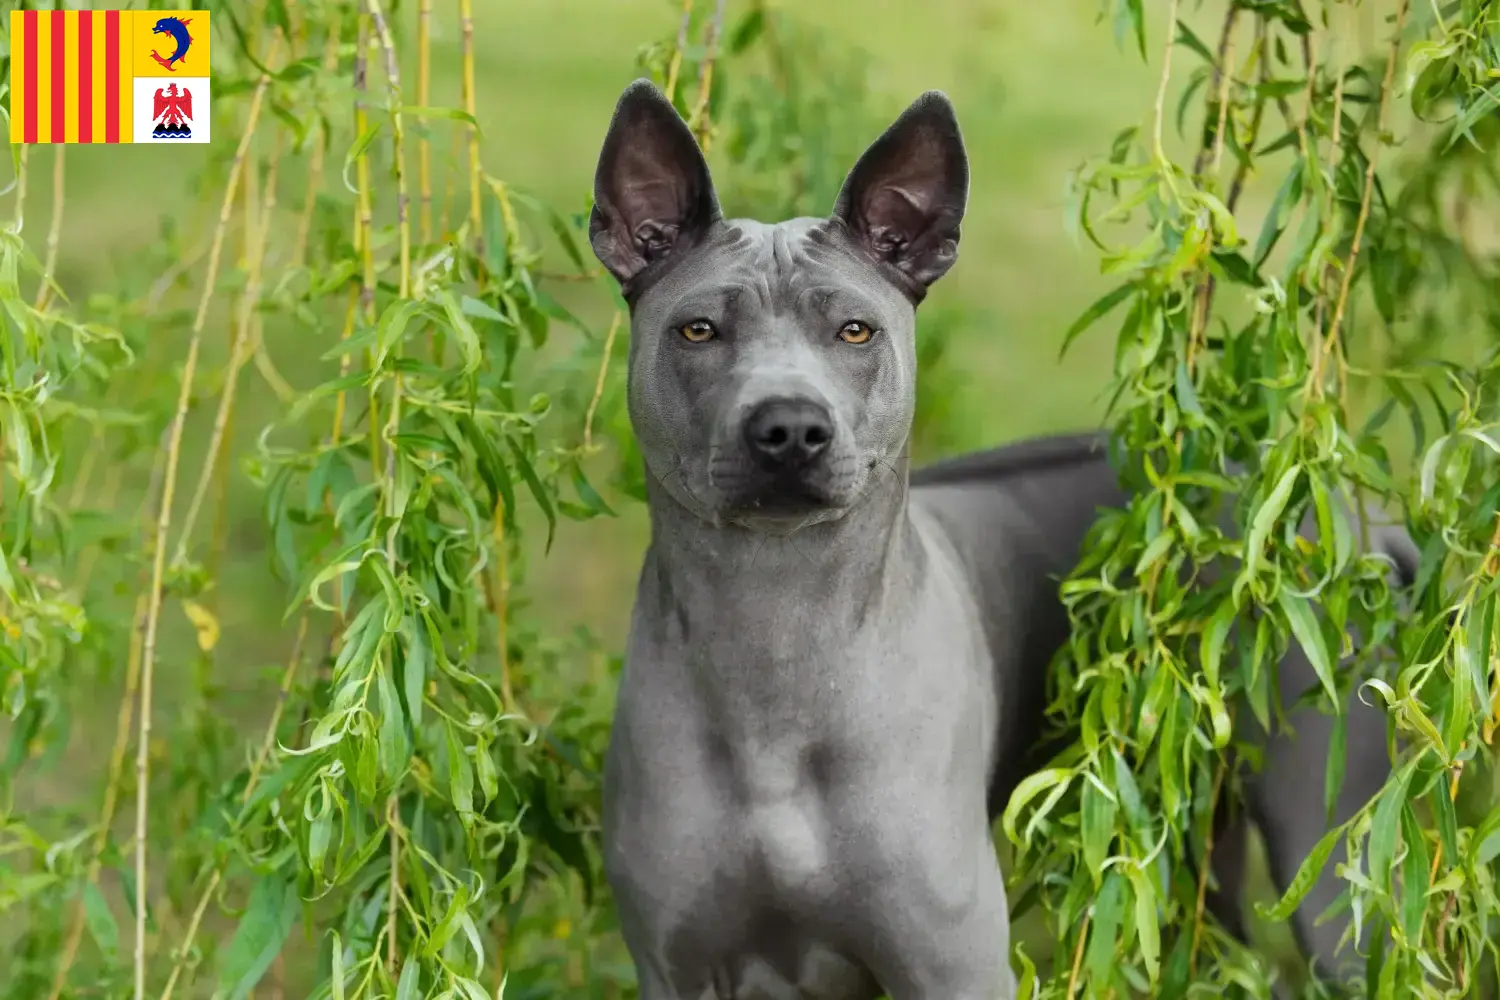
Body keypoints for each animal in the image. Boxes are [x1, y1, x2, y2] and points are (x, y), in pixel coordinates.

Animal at [585, 80, 1404, 1000]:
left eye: (855, 331)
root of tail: (1358, 523)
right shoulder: (677, 966)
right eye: (698, 331)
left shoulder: (953, 963)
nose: (790, 428)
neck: (774, 641)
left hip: (1326, 872)